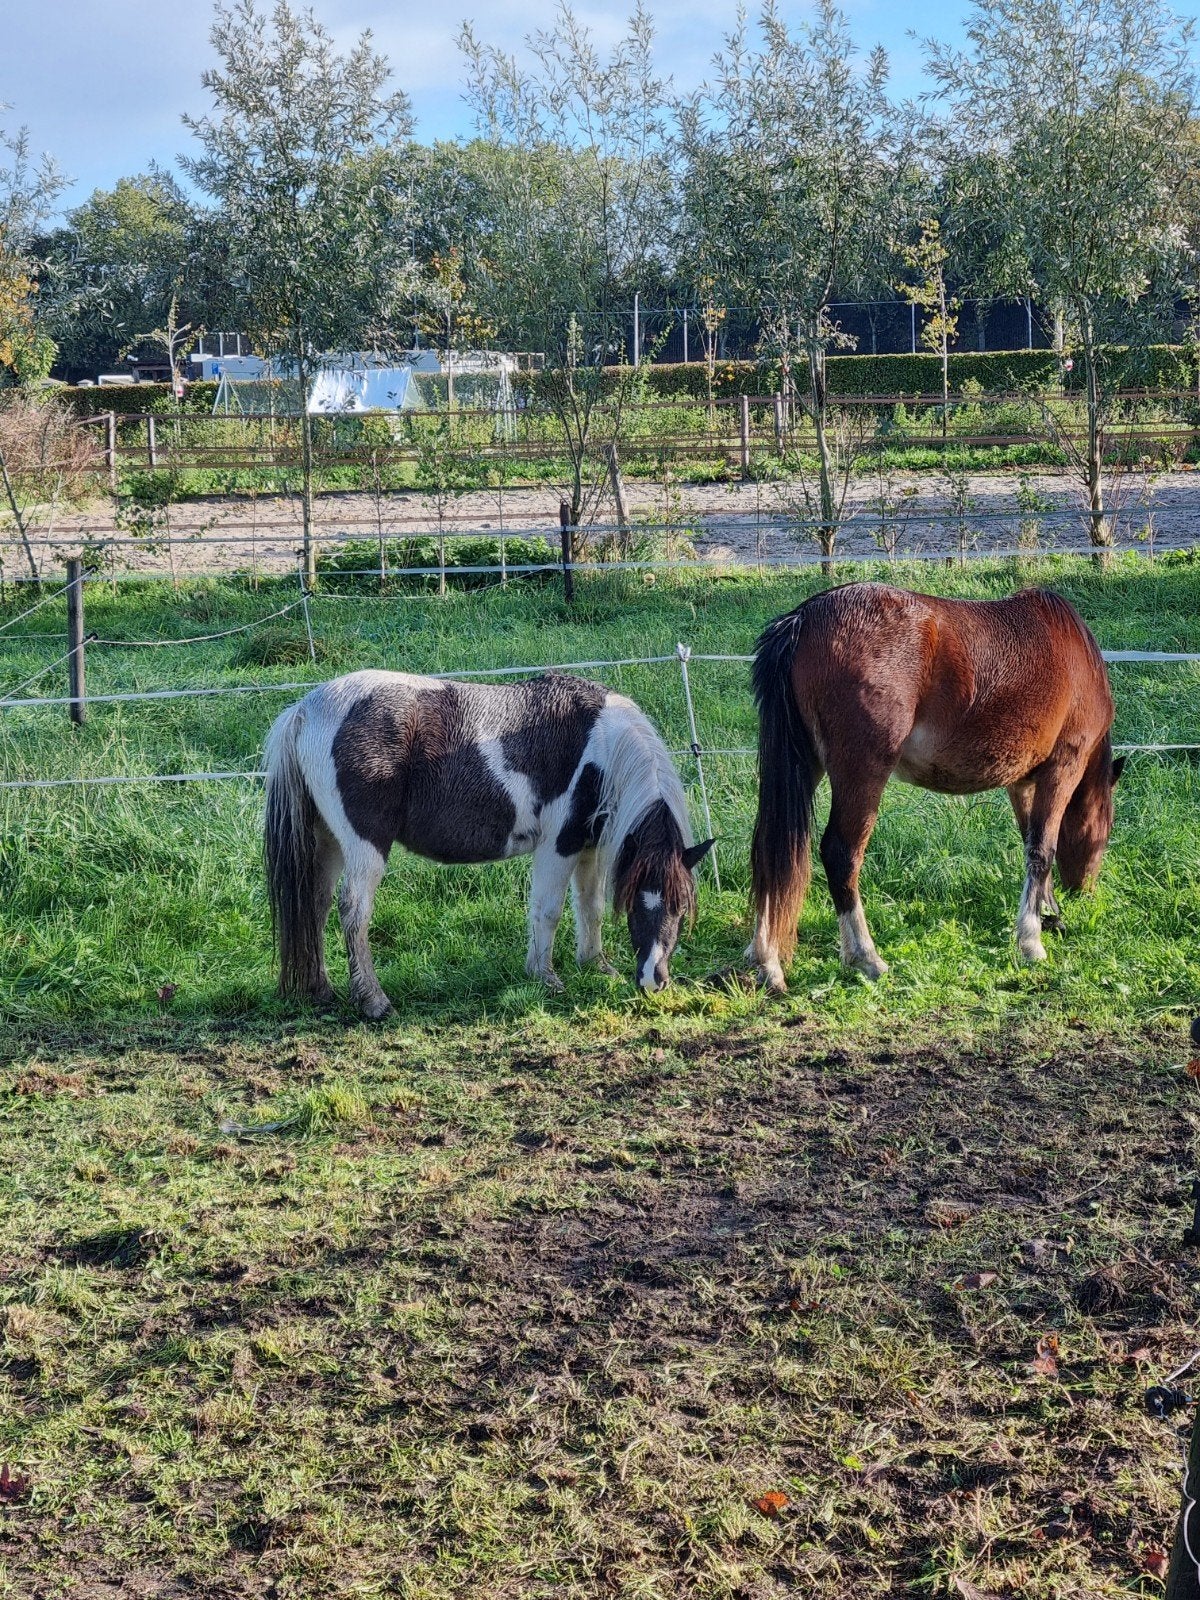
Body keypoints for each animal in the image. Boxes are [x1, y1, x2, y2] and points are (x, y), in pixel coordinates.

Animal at [263, 669, 714, 1016]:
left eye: (680, 908)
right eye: (638, 903)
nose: (653, 980)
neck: (602, 743)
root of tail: (305, 709)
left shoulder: (590, 847)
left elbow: (590, 908)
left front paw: (595, 965)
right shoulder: (559, 844)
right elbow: (547, 911)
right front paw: (545, 977)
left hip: (327, 842)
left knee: (316, 904)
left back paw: (321, 990)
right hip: (363, 846)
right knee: (353, 910)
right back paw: (374, 1001)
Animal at [747, 583, 1121, 992]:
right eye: (1105, 831)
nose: (1084, 890)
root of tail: (804, 617)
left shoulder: (1022, 783)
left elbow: (1030, 844)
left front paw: (1047, 914)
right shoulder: (1061, 769)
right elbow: (1042, 851)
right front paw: (1031, 941)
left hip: (804, 765)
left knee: (772, 850)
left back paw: (766, 961)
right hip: (862, 772)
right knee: (840, 853)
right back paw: (866, 957)